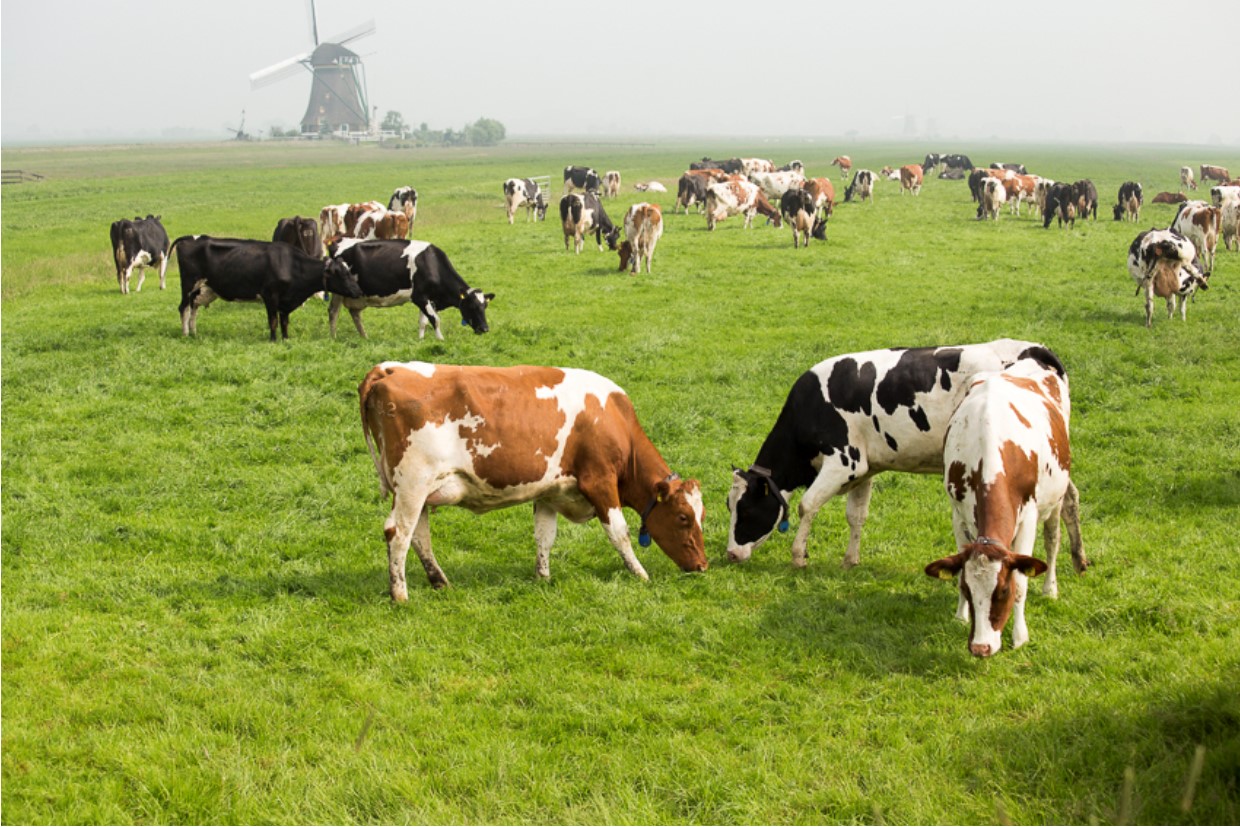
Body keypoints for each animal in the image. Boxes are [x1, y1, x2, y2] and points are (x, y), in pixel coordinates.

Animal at [172, 236, 362, 340]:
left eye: (349, 271)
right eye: (341, 274)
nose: (358, 291)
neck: (291, 265)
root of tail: (190, 238)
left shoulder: (286, 300)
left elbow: (284, 321)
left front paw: (286, 338)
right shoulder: (270, 295)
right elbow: (273, 321)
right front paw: (273, 340)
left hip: (200, 289)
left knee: (193, 307)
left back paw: (194, 333)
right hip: (188, 284)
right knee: (183, 308)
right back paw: (185, 334)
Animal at [358, 361, 708, 598]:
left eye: (701, 515)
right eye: (683, 517)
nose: (703, 565)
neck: (614, 420)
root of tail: (387, 369)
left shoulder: (549, 491)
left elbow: (544, 536)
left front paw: (543, 577)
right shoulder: (600, 481)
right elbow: (619, 533)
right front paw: (640, 573)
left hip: (417, 490)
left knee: (419, 536)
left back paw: (440, 582)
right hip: (413, 484)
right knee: (398, 533)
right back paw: (400, 595)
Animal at [726, 339, 1068, 568]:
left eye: (746, 510)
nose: (730, 553)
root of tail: (1034, 348)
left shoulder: (845, 461)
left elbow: (806, 505)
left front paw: (798, 557)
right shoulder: (865, 469)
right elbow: (856, 515)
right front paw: (850, 560)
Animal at [923, 359, 1084, 657]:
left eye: (1003, 592)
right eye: (968, 590)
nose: (981, 647)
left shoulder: (1029, 517)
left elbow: (1022, 579)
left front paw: (1020, 636)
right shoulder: (958, 513)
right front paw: (961, 616)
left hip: (1055, 498)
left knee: (1053, 539)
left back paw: (1050, 588)